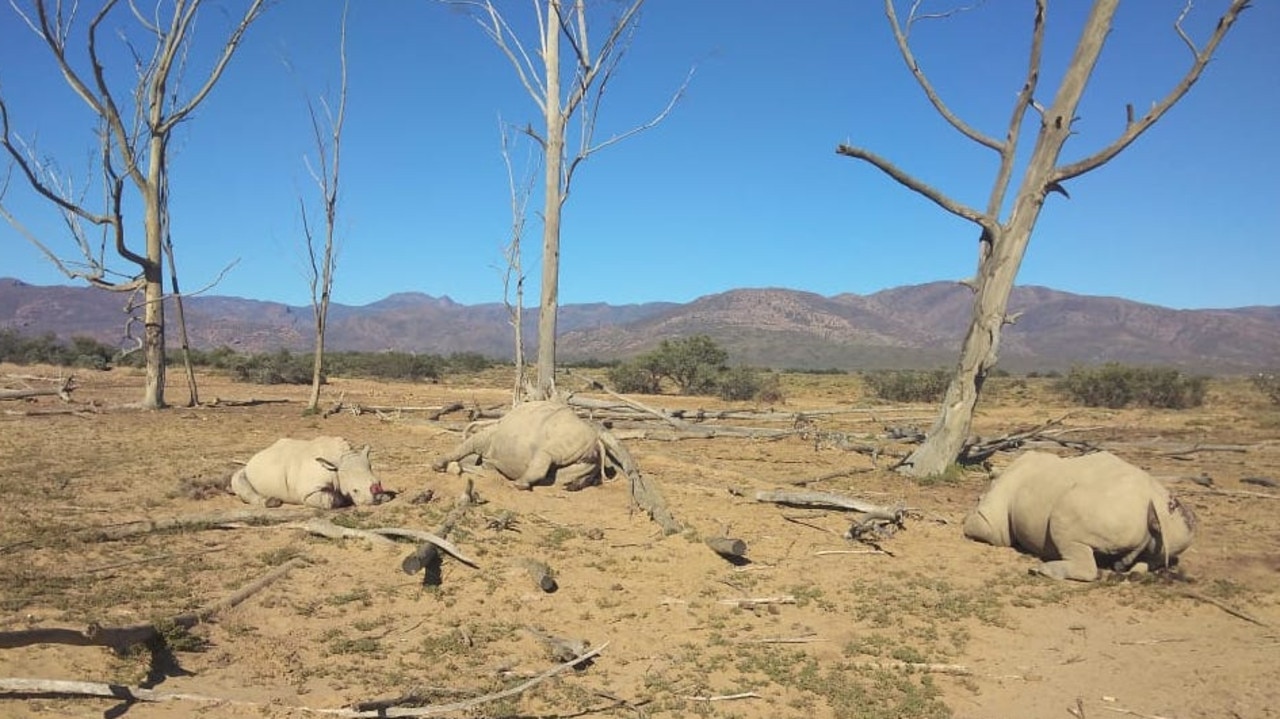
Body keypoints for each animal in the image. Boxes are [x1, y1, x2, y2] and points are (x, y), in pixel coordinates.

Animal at [231, 434, 386, 506]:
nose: (377, 499)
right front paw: (341, 498)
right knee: (238, 477)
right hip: (247, 469)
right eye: (355, 491)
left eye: (380, 482)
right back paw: (271, 503)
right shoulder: (308, 492)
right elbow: (329, 500)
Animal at [432, 399, 606, 488]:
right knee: (561, 476)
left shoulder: (486, 441)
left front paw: (441, 466)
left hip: (564, 441)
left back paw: (518, 484)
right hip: (586, 460)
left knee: (545, 456)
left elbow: (467, 448)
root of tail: (596, 444)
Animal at [962, 450, 1192, 578]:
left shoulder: (991, 523)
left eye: (979, 499)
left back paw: (1041, 571)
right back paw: (1133, 571)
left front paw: (964, 520)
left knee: (1067, 531)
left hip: (1097, 506)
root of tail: (1151, 498)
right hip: (1176, 524)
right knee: (1161, 552)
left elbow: (978, 526)